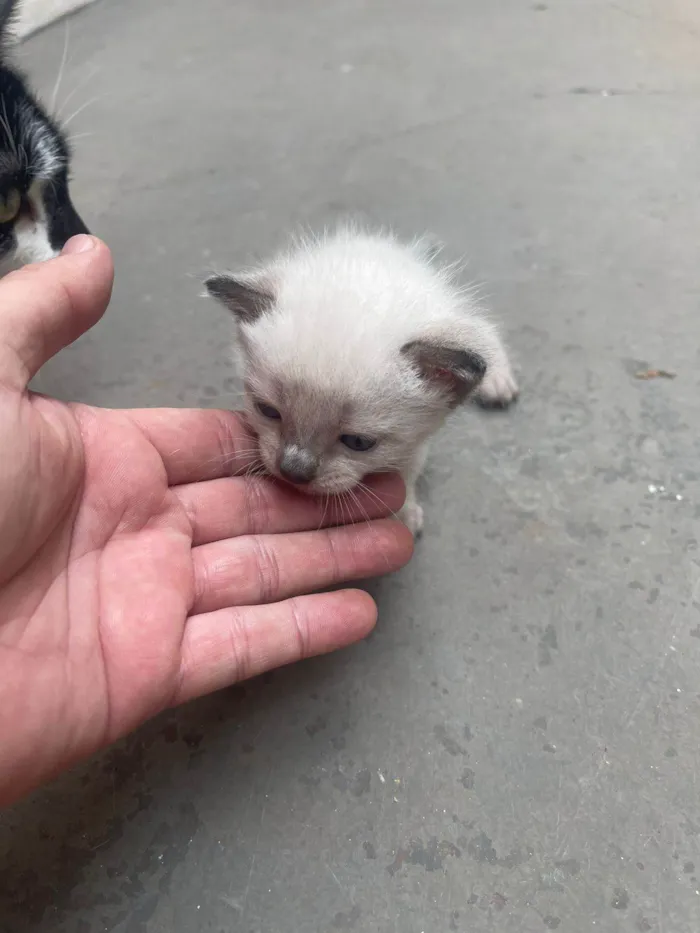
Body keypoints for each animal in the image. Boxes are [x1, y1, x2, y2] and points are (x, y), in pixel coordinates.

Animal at [205, 227, 516, 536]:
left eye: (358, 442)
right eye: (267, 411)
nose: (293, 469)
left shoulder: (413, 448)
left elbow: (405, 476)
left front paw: (404, 515)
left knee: (482, 333)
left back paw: (497, 381)